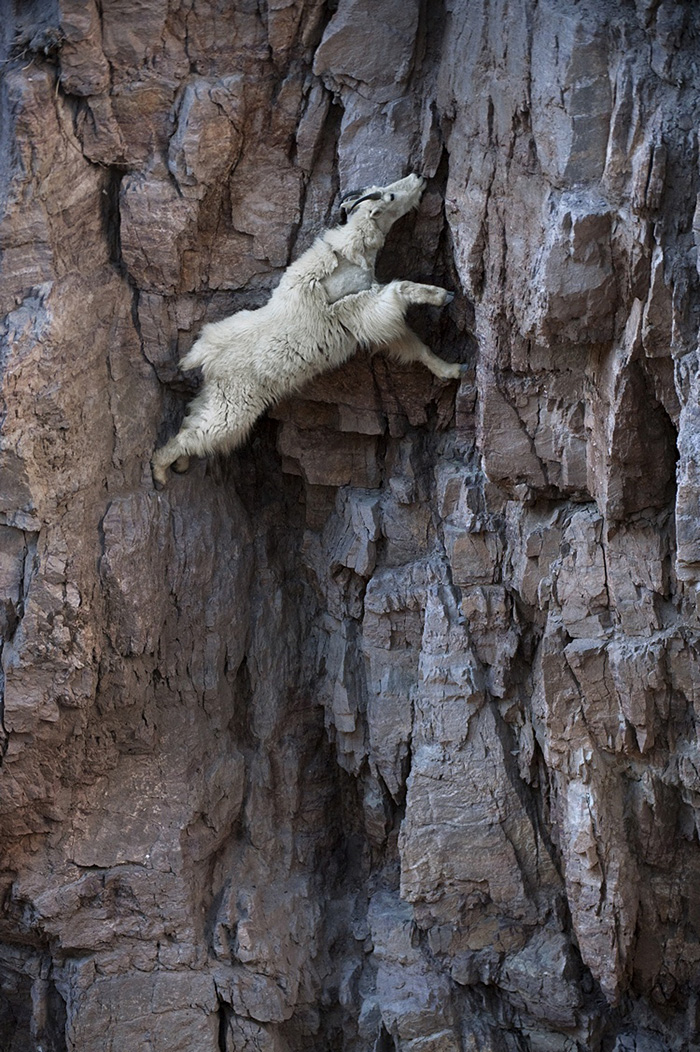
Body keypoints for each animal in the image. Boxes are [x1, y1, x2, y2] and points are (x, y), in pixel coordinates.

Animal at [151, 174, 465, 485]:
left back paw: (180, 464)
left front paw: (452, 369)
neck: (351, 254)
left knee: (192, 420)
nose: (419, 177)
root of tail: (206, 358)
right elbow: (401, 290)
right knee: (200, 434)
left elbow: (413, 346)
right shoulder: (361, 308)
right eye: (389, 196)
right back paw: (160, 471)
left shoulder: (372, 320)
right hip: (234, 405)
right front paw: (442, 295)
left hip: (216, 396)